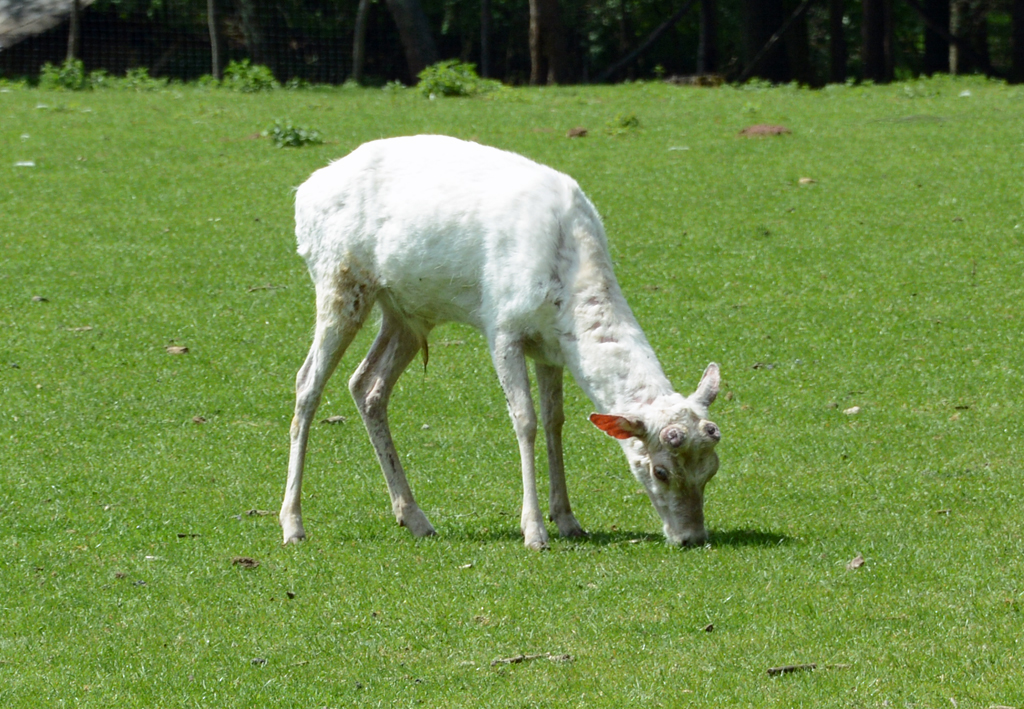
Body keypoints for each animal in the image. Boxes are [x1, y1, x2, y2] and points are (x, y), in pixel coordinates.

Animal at [280, 135, 720, 549]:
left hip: (407, 314)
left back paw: (415, 518)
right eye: (660, 470)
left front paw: (568, 520)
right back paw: (293, 524)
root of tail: (305, 191)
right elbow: (525, 420)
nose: (692, 537)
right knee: (307, 382)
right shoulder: (502, 327)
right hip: (339, 281)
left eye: (712, 469)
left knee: (366, 384)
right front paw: (535, 532)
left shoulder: (551, 349)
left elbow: (555, 420)